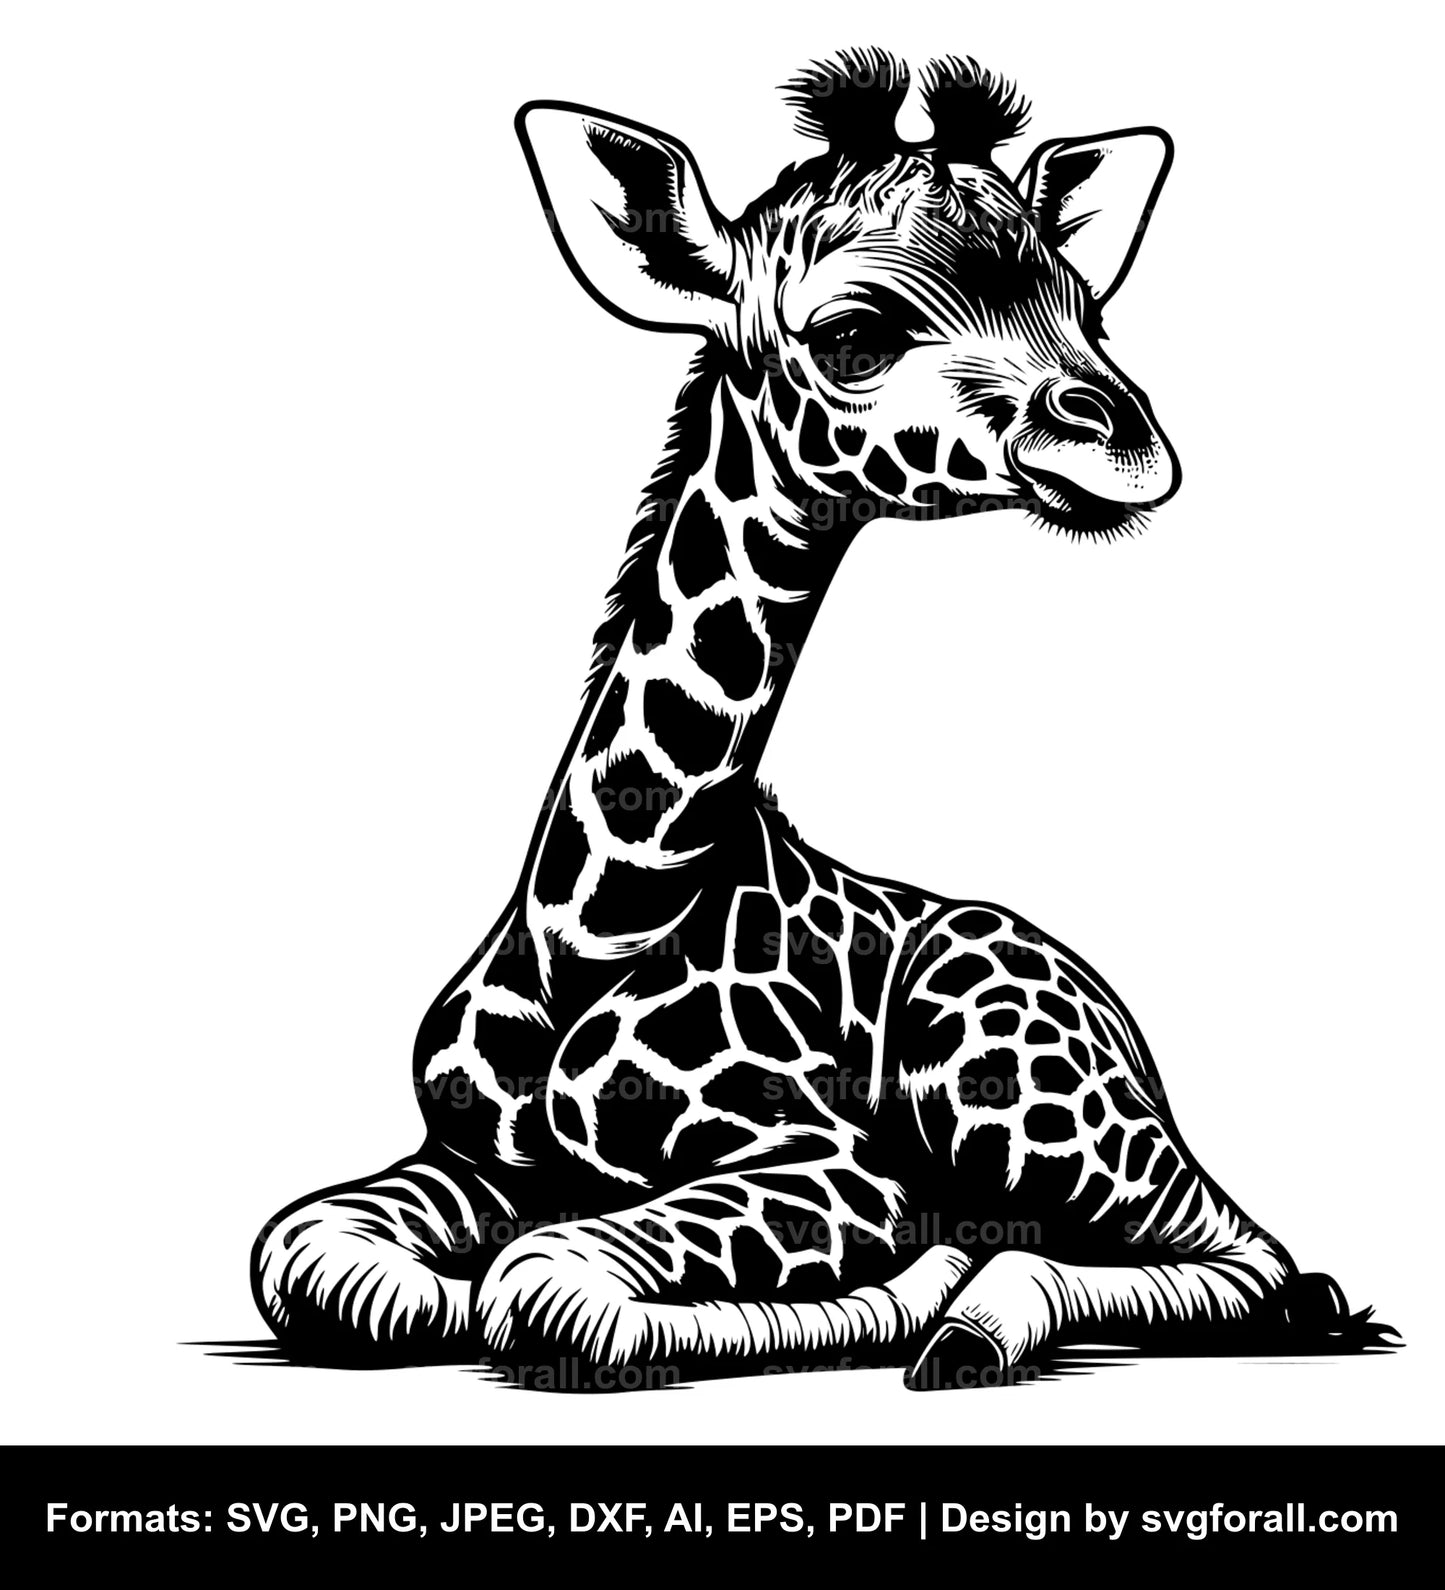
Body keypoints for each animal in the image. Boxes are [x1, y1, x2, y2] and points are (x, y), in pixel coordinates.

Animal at [251, 50, 1389, 1389]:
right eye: (851, 334)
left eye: (1086, 315)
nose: (1122, 441)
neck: (600, 925)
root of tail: (1119, 1020)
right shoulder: (463, 1155)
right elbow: (313, 1257)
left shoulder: (830, 1161)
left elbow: (548, 1291)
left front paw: (884, 1296)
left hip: (1006, 1083)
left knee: (1256, 1259)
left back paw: (971, 1321)